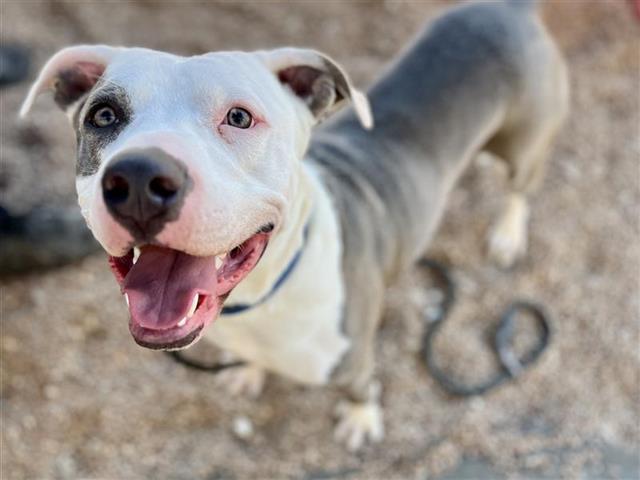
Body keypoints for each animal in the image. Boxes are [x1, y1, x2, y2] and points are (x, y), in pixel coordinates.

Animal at [21, 0, 568, 450]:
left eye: (240, 117)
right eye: (103, 115)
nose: (137, 179)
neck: (260, 301)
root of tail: (508, 8)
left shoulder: (353, 357)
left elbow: (361, 387)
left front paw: (361, 419)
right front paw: (249, 373)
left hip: (526, 142)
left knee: (520, 188)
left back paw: (508, 233)